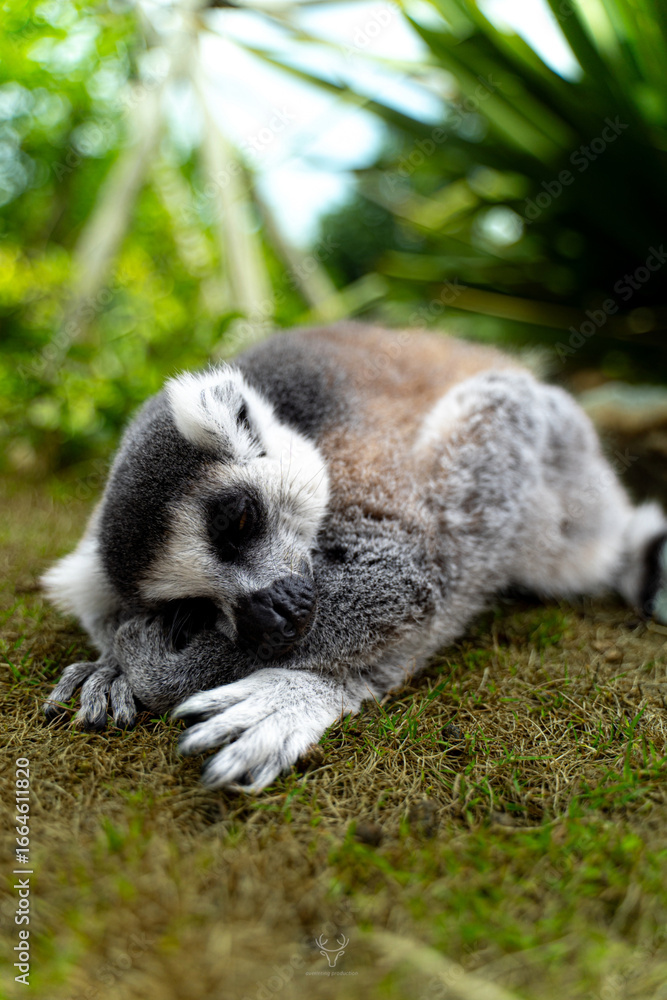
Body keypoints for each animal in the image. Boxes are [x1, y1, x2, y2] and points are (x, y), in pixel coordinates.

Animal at [41, 323, 667, 791]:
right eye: (190, 606)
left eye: (238, 523)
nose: (275, 618)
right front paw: (110, 663)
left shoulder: (353, 462)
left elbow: (400, 580)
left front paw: (146, 666)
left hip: (569, 487)